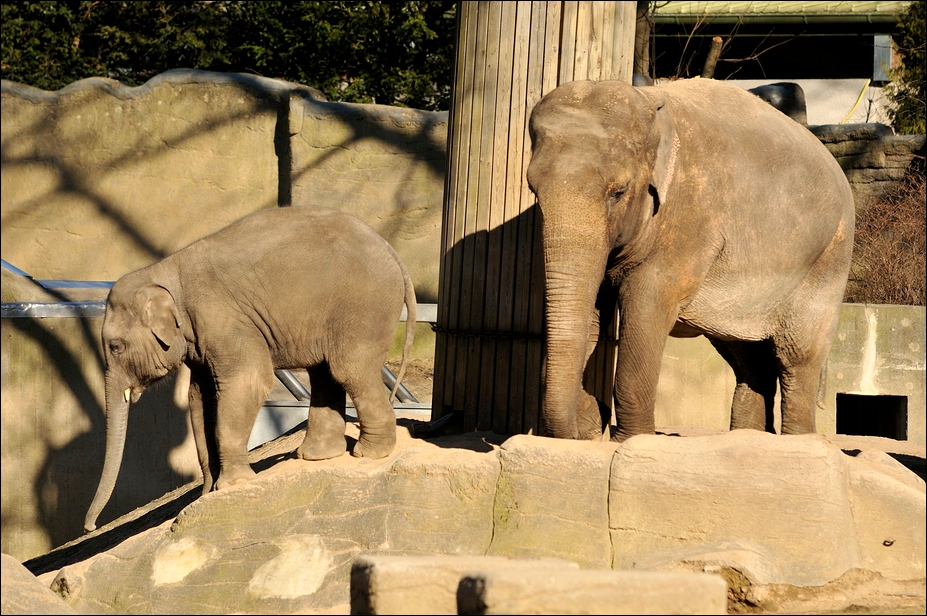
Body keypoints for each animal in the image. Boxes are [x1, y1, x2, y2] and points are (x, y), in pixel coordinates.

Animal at [84, 206, 416, 532]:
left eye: (115, 346)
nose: (90, 526)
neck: (163, 271)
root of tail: (391, 249)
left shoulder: (223, 319)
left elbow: (247, 381)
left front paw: (233, 485)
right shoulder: (199, 339)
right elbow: (200, 399)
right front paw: (208, 493)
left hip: (363, 306)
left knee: (348, 369)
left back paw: (368, 453)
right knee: (323, 372)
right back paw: (315, 456)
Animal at [526, 78, 854, 442]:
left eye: (619, 192)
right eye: (533, 189)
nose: (590, 416)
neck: (648, 103)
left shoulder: (690, 215)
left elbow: (647, 301)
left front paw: (633, 441)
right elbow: (595, 306)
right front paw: (591, 426)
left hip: (829, 255)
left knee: (797, 356)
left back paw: (800, 441)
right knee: (746, 355)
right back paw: (748, 439)